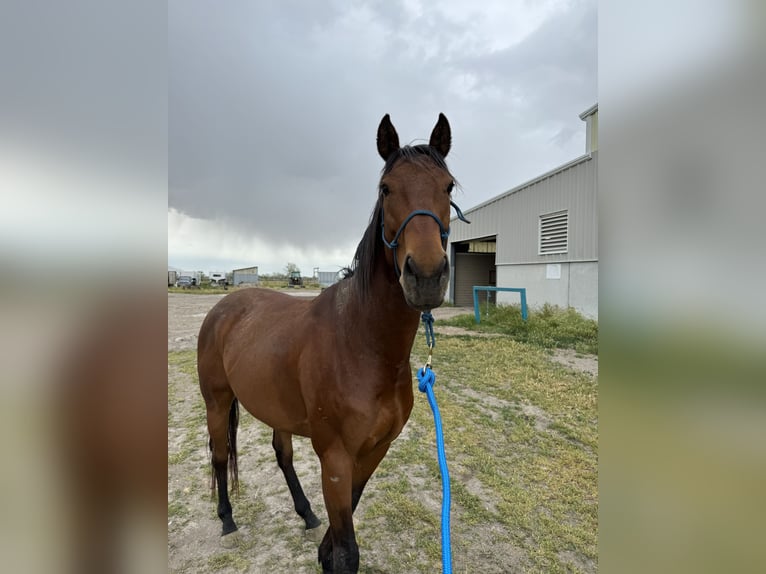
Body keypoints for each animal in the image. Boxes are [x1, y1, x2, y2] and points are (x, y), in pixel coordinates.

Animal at [198, 111, 462, 572]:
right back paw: (227, 519)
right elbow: (348, 548)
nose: (427, 276)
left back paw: (305, 512)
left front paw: (322, 550)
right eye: (385, 188)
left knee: (281, 454)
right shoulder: (336, 458)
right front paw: (330, 553)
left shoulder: (374, 451)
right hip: (217, 401)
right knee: (218, 455)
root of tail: (223, 306)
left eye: (448, 186)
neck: (362, 345)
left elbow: (347, 519)